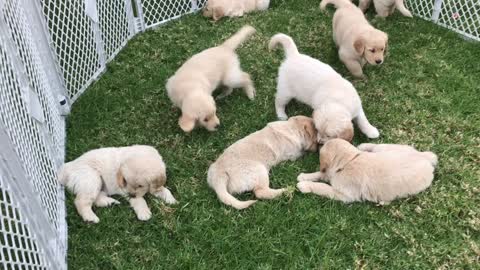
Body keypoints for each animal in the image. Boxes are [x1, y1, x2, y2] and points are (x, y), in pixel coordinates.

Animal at [296, 139, 438, 205]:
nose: (319, 144)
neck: (349, 160)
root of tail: (424, 157)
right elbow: (321, 174)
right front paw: (304, 176)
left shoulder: (344, 195)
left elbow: (323, 187)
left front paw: (305, 185)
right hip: (387, 149)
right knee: (376, 146)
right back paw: (363, 146)